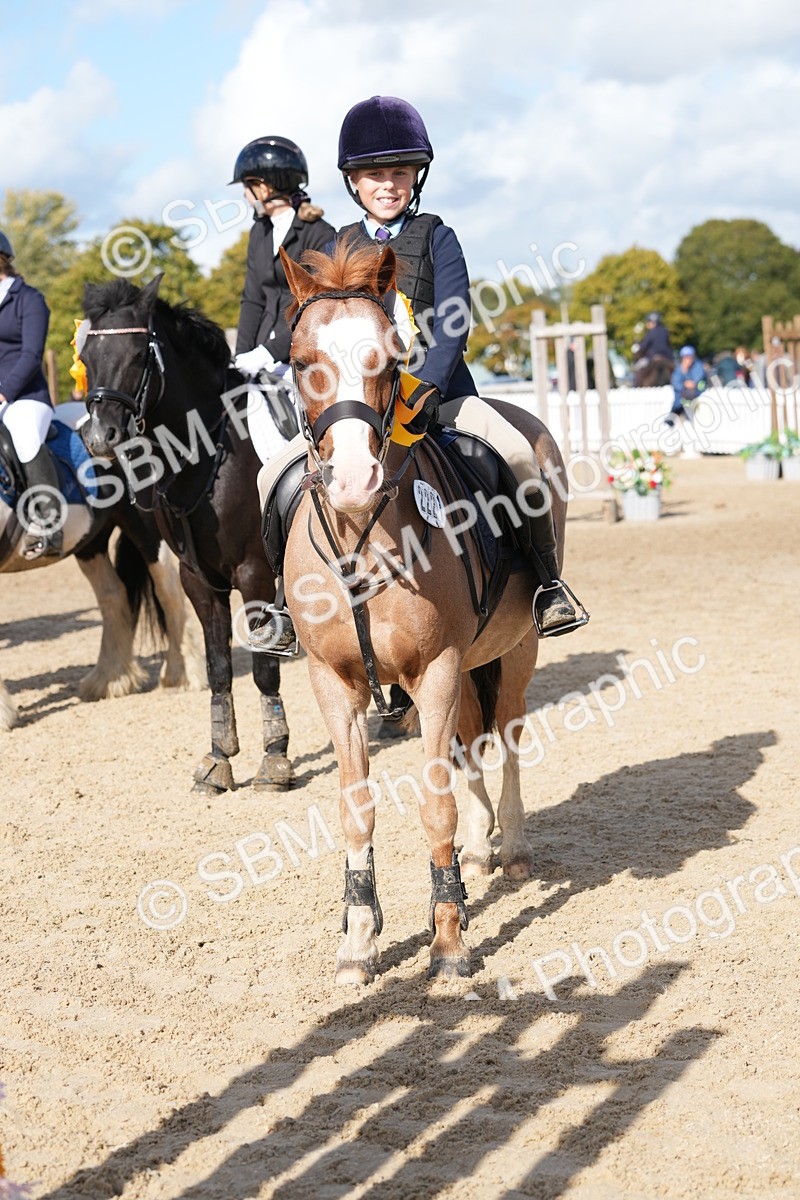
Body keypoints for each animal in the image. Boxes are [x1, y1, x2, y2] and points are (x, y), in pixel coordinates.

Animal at [0, 402, 194, 731]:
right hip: (90, 543)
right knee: (113, 595)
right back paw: (111, 678)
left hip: (147, 531)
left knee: (168, 591)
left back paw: (181, 676)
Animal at [79, 276, 295, 794]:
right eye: (87, 356)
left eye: (139, 354)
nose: (98, 439)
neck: (207, 452)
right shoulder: (197, 578)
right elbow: (219, 669)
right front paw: (218, 760)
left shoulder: (255, 574)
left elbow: (263, 667)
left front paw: (275, 760)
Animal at [276, 240, 572, 984]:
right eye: (301, 360)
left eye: (390, 357)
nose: (355, 481)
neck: (363, 536)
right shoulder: (336, 682)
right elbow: (357, 808)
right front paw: (358, 941)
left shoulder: (435, 669)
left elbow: (435, 805)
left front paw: (449, 940)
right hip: (469, 663)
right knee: (471, 742)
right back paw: (480, 848)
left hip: (515, 649)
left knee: (509, 735)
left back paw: (511, 848)